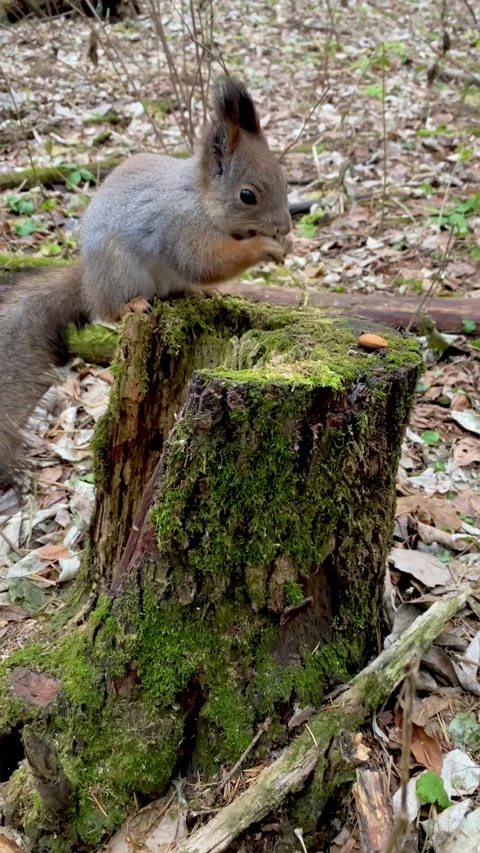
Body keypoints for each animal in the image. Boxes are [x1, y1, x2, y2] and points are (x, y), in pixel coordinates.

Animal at [0, 78, 292, 482]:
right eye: (247, 195)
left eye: (283, 179)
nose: (285, 227)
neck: (199, 198)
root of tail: (88, 283)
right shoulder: (178, 226)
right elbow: (205, 260)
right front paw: (265, 246)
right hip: (116, 270)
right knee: (109, 309)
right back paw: (132, 304)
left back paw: (198, 296)